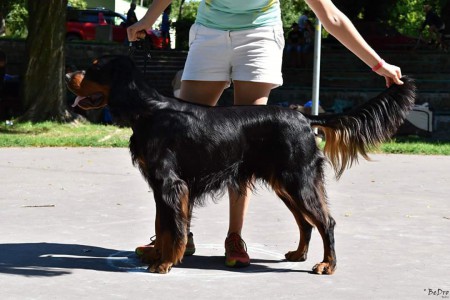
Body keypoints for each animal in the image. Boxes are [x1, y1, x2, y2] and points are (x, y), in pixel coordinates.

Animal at [66, 55, 414, 274]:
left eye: (95, 69)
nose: (68, 76)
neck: (149, 110)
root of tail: (304, 117)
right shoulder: (161, 186)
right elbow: (162, 224)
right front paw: (157, 254)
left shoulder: (170, 183)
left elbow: (172, 227)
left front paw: (164, 262)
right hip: (285, 183)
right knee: (305, 223)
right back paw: (298, 254)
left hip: (298, 180)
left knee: (325, 222)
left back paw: (327, 265)